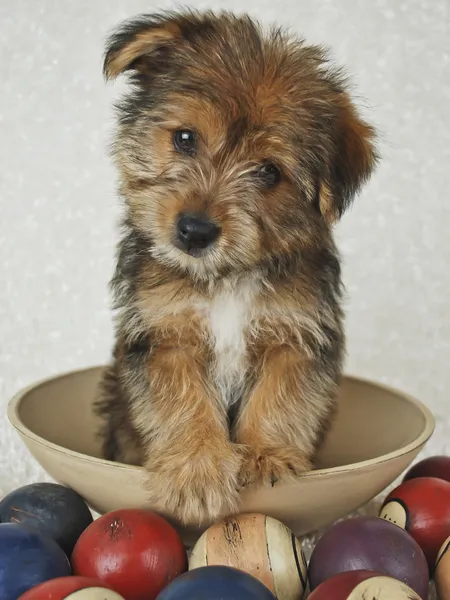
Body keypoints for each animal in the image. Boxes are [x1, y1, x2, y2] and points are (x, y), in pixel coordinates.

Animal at [96, 9, 378, 524]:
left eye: (269, 172)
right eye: (185, 139)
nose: (195, 230)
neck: (226, 277)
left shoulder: (297, 334)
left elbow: (282, 396)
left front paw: (266, 454)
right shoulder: (166, 335)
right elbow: (182, 399)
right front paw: (196, 469)